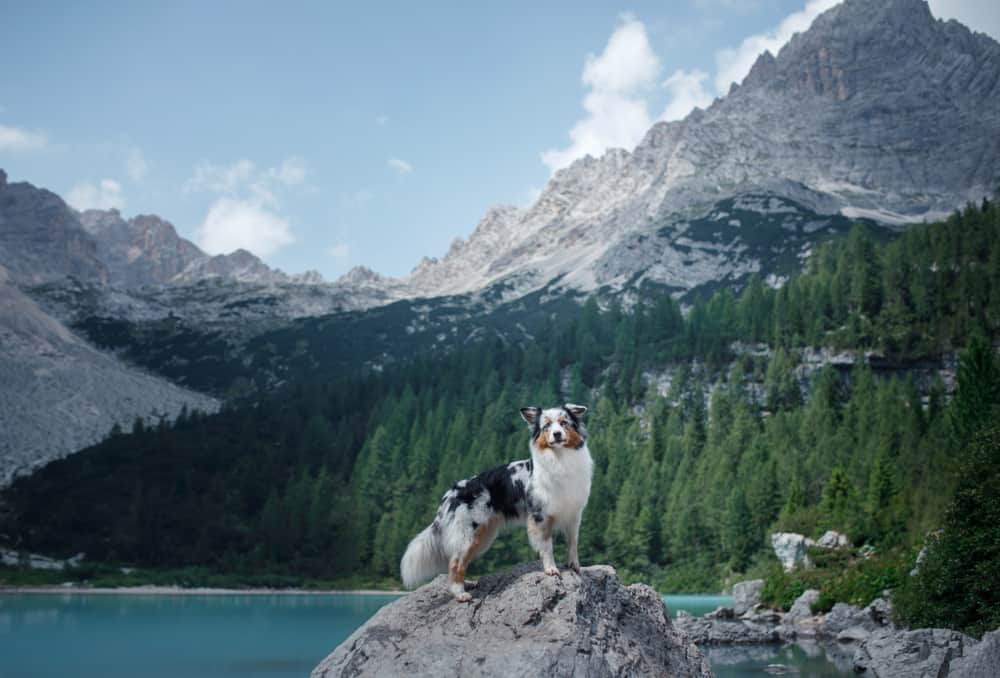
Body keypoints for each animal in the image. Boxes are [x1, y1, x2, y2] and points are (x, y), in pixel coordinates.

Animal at [400, 404, 592, 600]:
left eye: (563, 423)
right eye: (546, 426)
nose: (557, 434)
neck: (560, 458)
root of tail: (451, 493)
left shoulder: (574, 513)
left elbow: (573, 542)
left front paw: (574, 565)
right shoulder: (540, 515)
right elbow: (547, 546)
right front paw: (551, 569)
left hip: (483, 536)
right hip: (468, 534)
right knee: (455, 562)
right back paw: (460, 593)